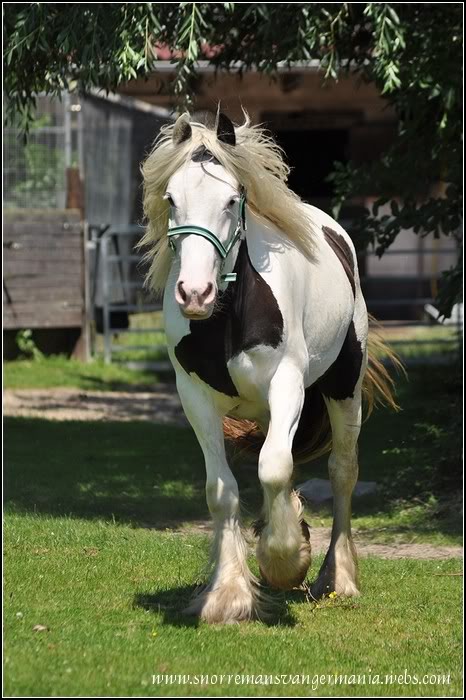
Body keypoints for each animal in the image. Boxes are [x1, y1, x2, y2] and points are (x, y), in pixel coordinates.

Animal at [141, 110, 396, 624]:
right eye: (171, 198)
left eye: (231, 199)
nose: (194, 293)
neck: (230, 317)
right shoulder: (195, 398)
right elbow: (222, 489)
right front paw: (229, 594)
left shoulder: (287, 385)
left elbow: (274, 468)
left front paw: (285, 561)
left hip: (343, 389)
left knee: (341, 472)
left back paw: (336, 578)